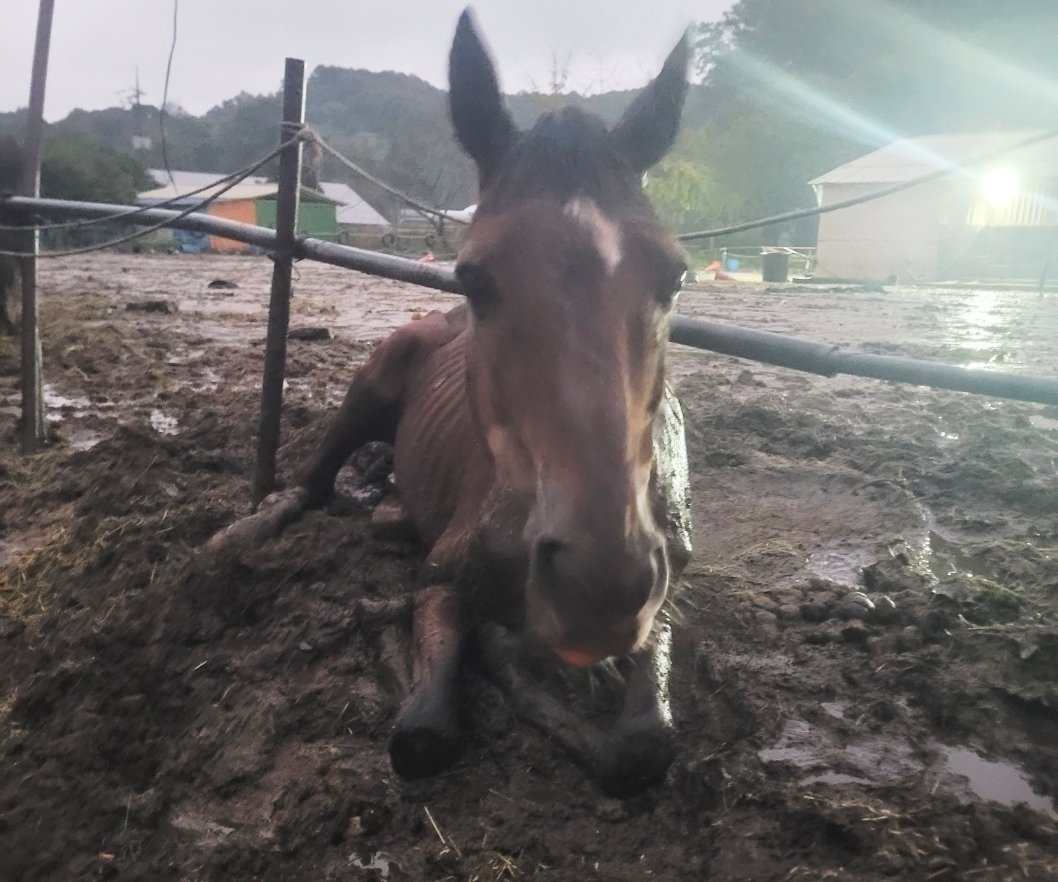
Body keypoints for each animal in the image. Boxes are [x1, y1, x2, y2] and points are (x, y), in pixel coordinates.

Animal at [213, 12, 694, 795]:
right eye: (475, 278)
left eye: (675, 277)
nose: (597, 587)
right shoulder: (439, 582)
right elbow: (422, 734)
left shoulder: (662, 598)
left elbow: (644, 746)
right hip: (369, 386)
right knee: (310, 484)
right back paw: (243, 532)